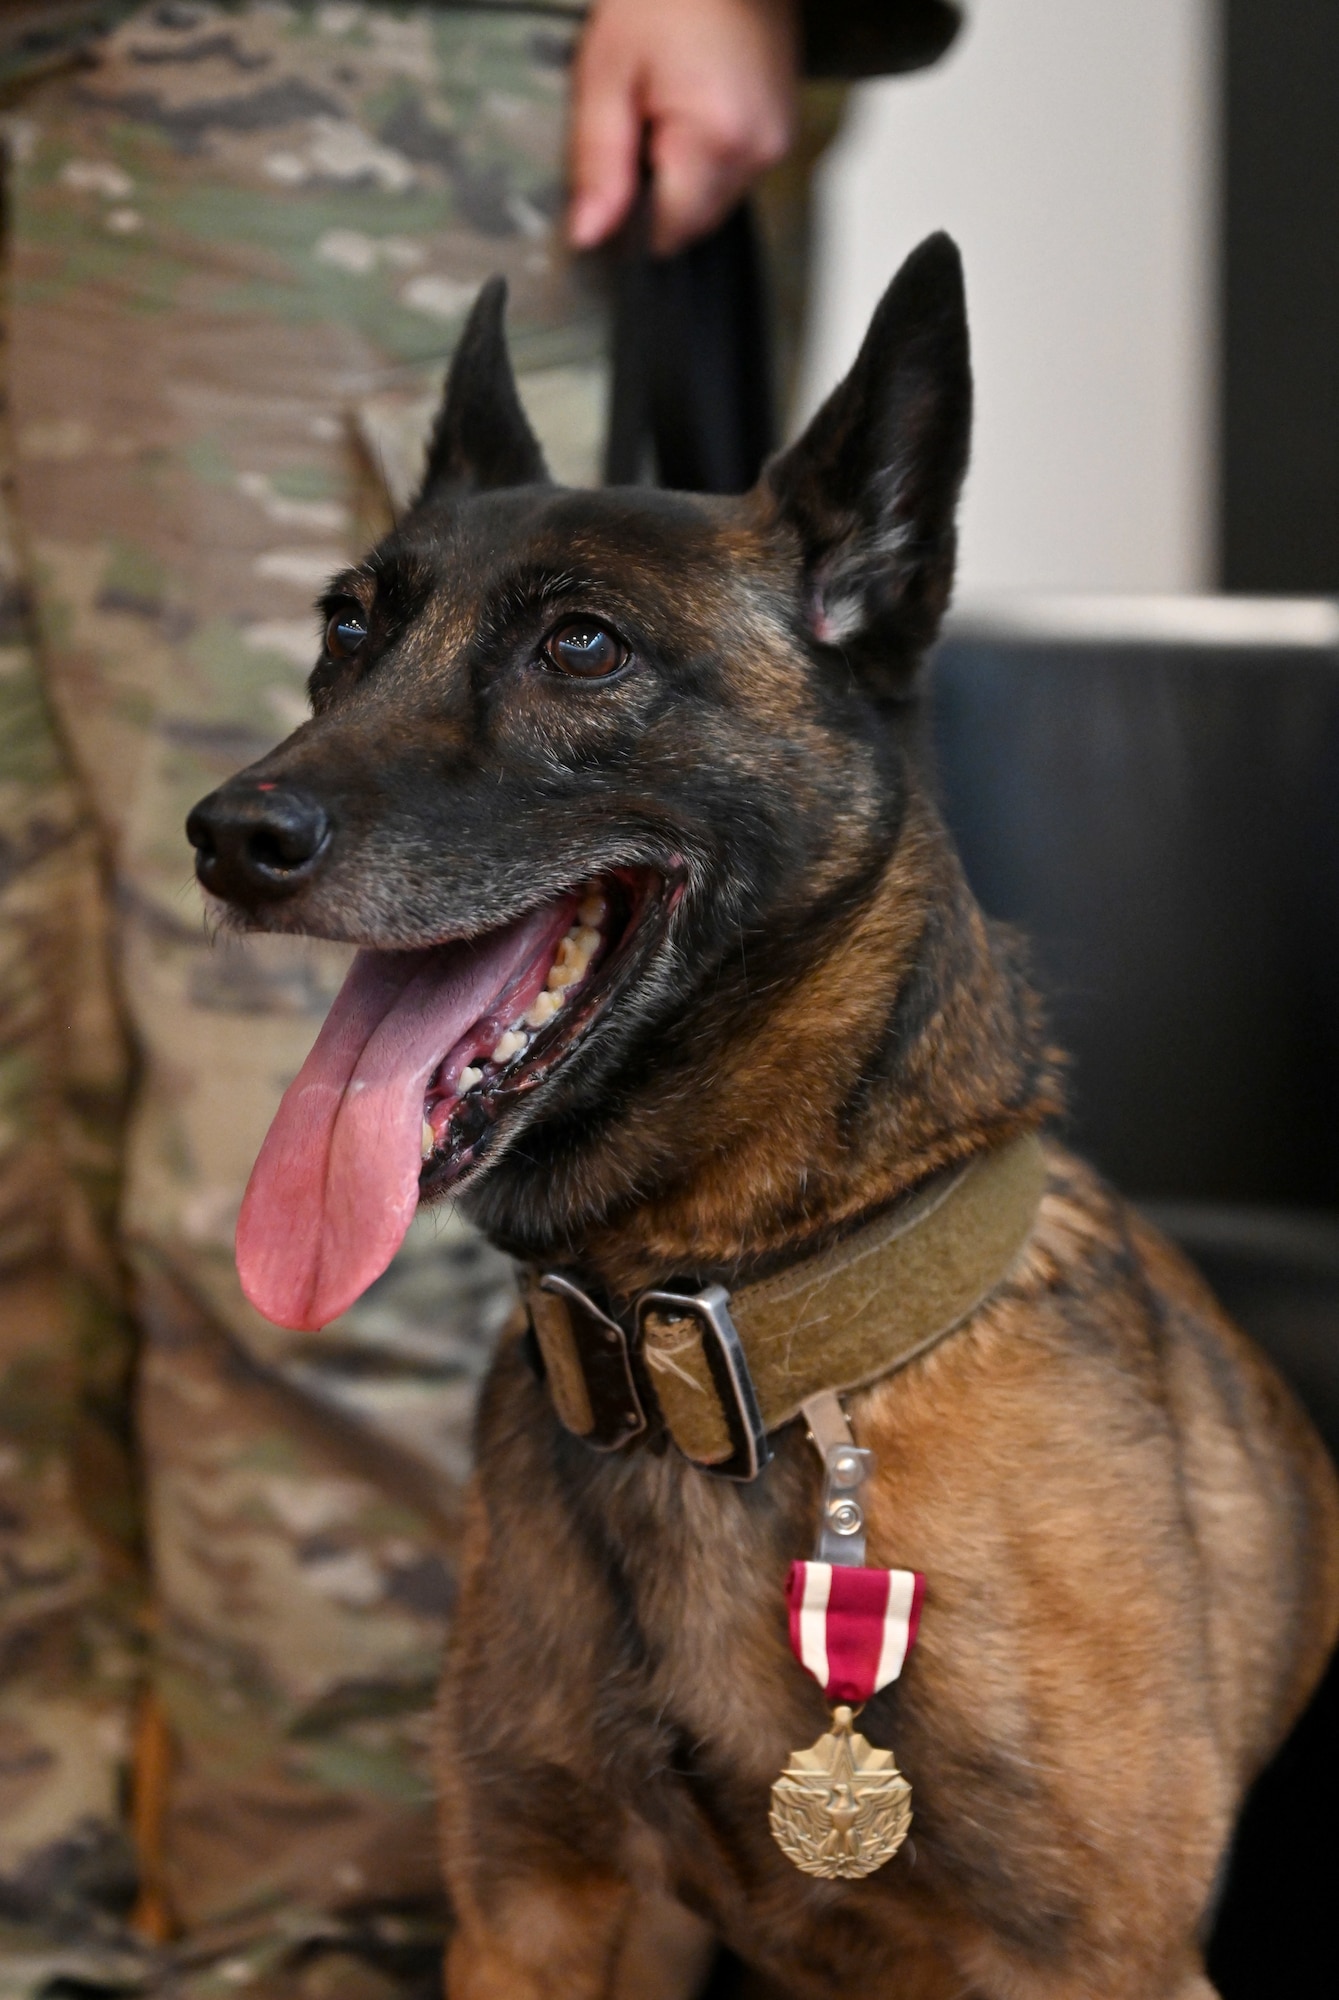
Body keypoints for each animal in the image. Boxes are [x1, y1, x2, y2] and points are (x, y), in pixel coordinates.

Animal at [188, 238, 1339, 2000]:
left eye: (581, 647)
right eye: (345, 627)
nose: (227, 837)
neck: (703, 1346)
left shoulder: (1089, 1961)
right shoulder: (535, 1914)